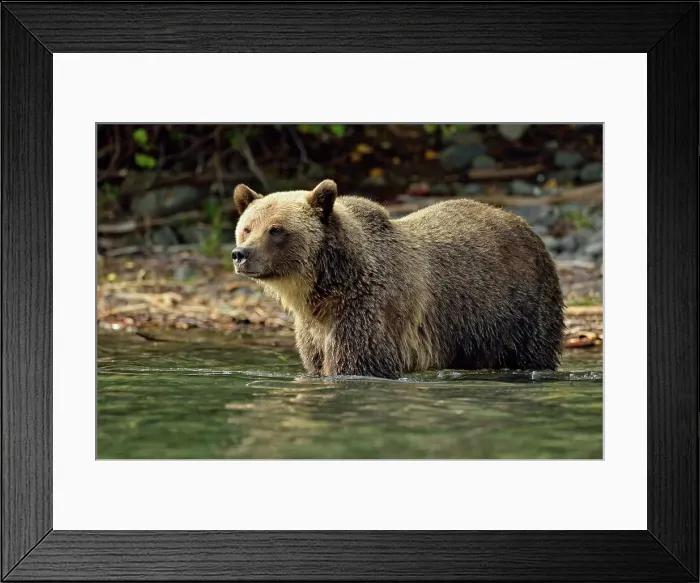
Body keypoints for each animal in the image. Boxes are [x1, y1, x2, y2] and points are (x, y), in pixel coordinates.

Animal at [232, 179, 564, 379]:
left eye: (276, 229)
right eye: (247, 228)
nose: (240, 254)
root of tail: (520, 222)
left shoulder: (367, 310)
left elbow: (357, 362)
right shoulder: (314, 330)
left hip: (520, 306)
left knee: (532, 352)